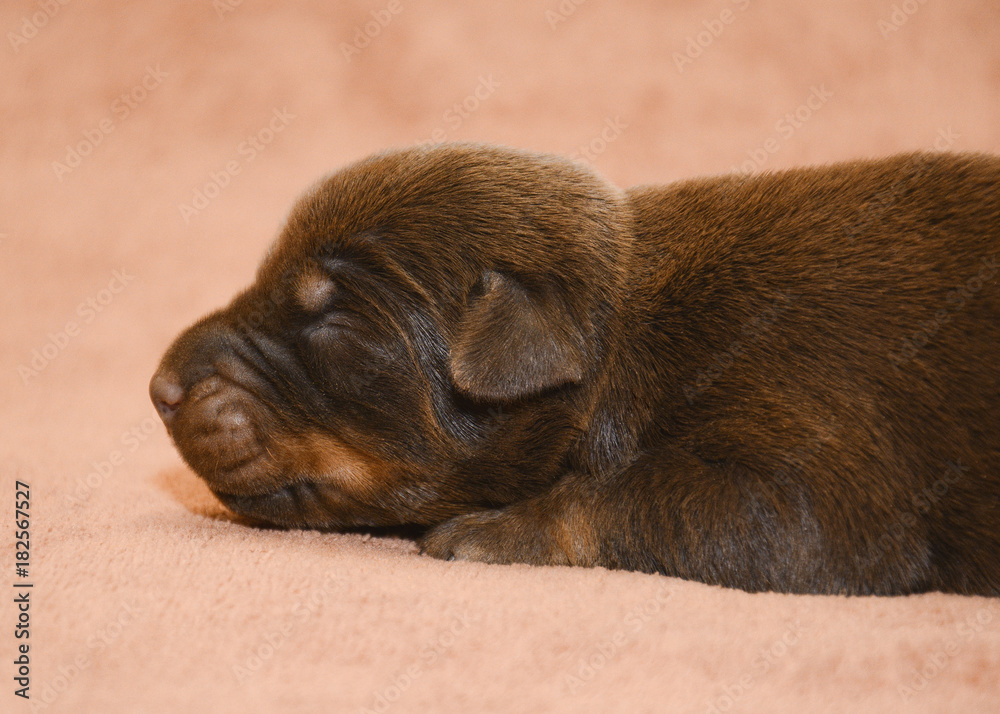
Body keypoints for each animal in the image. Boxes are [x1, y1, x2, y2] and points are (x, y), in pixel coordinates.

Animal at [148, 143, 1000, 596]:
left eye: (331, 321)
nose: (159, 389)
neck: (627, 334)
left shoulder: (814, 458)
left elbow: (646, 497)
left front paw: (489, 529)